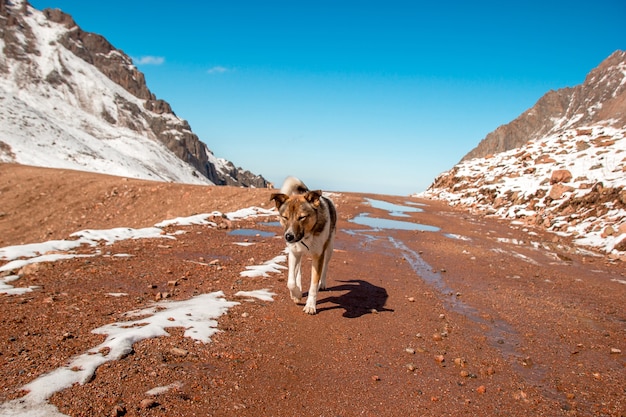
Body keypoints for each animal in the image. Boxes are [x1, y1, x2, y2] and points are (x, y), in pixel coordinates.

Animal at [270, 177, 336, 314]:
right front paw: (296, 295)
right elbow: (290, 281)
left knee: (326, 266)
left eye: (302, 217)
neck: (306, 236)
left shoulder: (318, 256)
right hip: (298, 253)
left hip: (329, 248)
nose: (288, 236)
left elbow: (313, 284)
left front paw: (310, 305)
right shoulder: (293, 253)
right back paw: (298, 287)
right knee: (298, 269)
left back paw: (322, 284)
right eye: (285, 217)